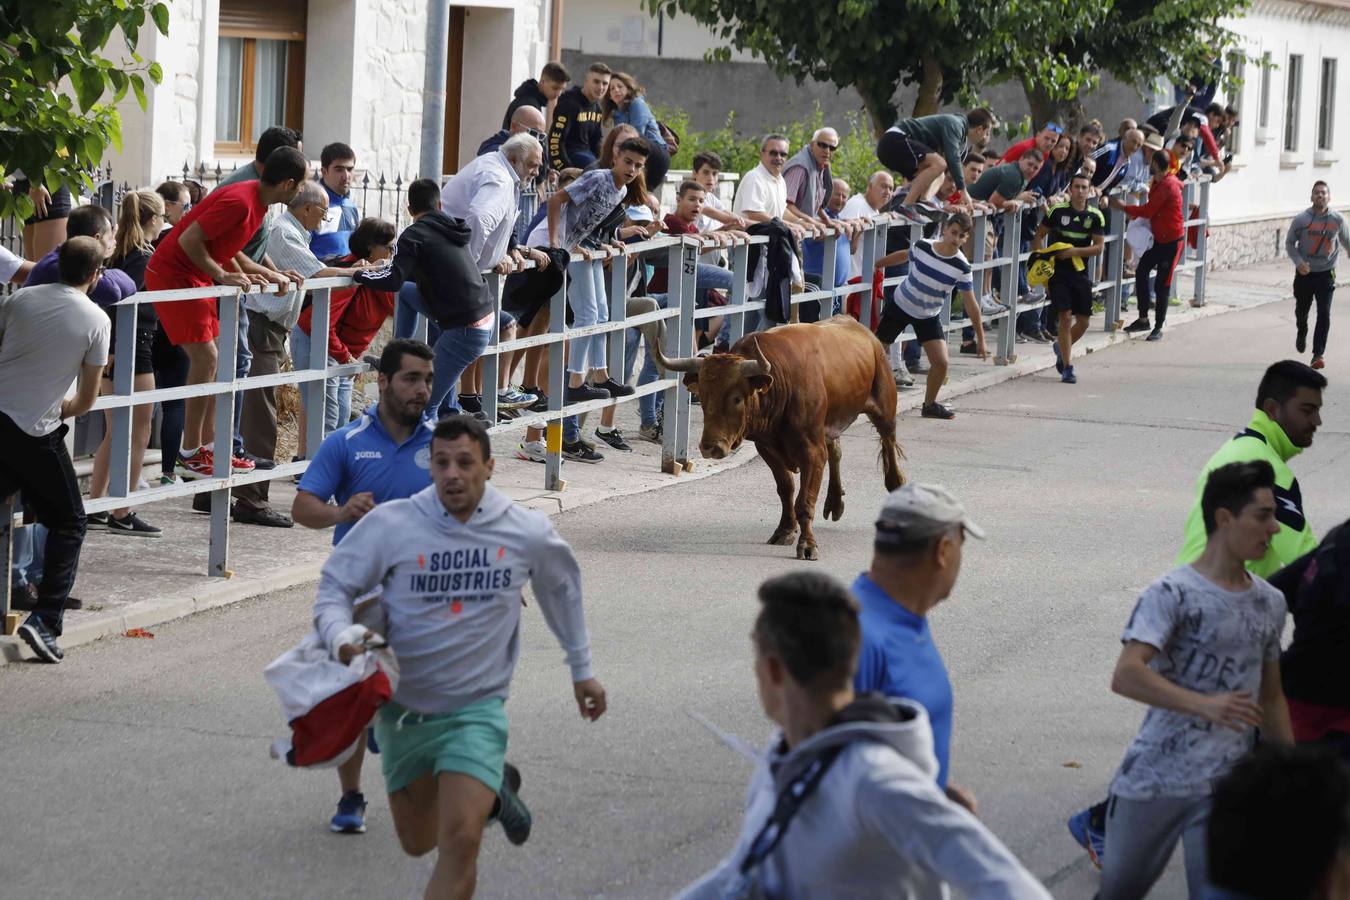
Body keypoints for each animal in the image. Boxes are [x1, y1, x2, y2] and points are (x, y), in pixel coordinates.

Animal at [653, 315, 907, 555]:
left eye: (737, 398)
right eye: (703, 396)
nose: (710, 447)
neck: (782, 385)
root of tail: (865, 332)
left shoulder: (813, 453)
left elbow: (805, 501)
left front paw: (807, 544)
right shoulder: (768, 449)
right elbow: (786, 490)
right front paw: (785, 530)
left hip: (885, 409)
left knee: (888, 441)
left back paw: (896, 486)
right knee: (836, 451)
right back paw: (835, 502)